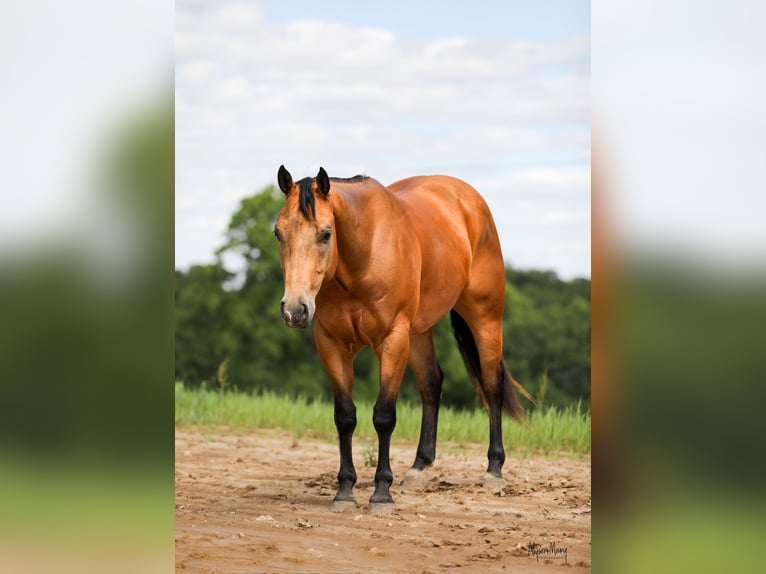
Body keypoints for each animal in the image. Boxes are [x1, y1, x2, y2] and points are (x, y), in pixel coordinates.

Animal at [274, 164, 536, 516]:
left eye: (326, 233)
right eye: (278, 233)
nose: (294, 309)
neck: (362, 257)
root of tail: (468, 199)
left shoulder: (393, 340)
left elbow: (384, 415)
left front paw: (381, 493)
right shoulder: (331, 343)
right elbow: (345, 417)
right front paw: (345, 491)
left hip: (485, 318)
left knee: (491, 385)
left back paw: (493, 471)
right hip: (420, 332)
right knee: (431, 384)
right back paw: (419, 468)